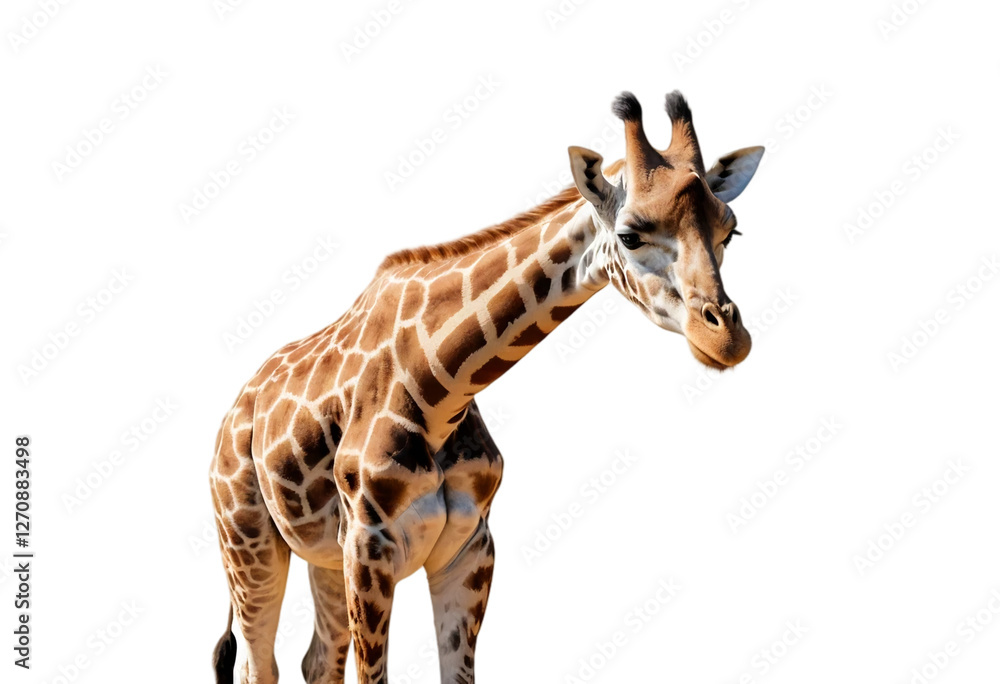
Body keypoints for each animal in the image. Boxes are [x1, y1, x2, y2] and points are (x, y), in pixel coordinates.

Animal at [210, 89, 764, 684]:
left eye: (730, 231)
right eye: (630, 235)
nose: (728, 338)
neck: (439, 395)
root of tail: (234, 411)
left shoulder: (469, 550)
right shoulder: (369, 547)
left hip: (321, 557)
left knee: (317, 659)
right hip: (248, 542)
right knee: (258, 663)